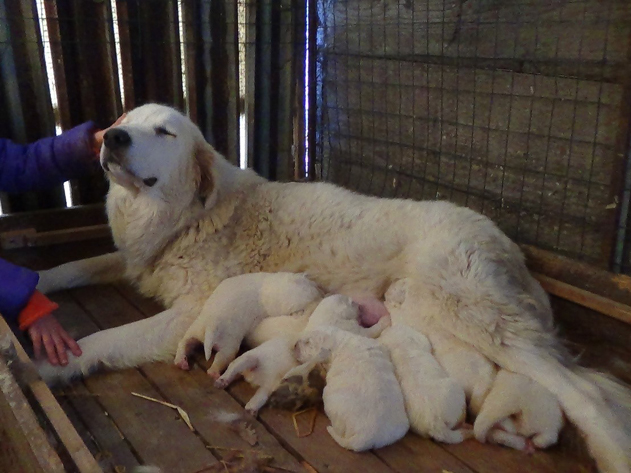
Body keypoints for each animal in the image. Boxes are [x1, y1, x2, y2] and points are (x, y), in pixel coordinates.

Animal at [173, 272, 320, 376]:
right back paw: (213, 373)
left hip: (195, 330)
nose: (320, 292)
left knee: (183, 343)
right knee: (220, 361)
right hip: (229, 346)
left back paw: (181, 363)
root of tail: (211, 326)